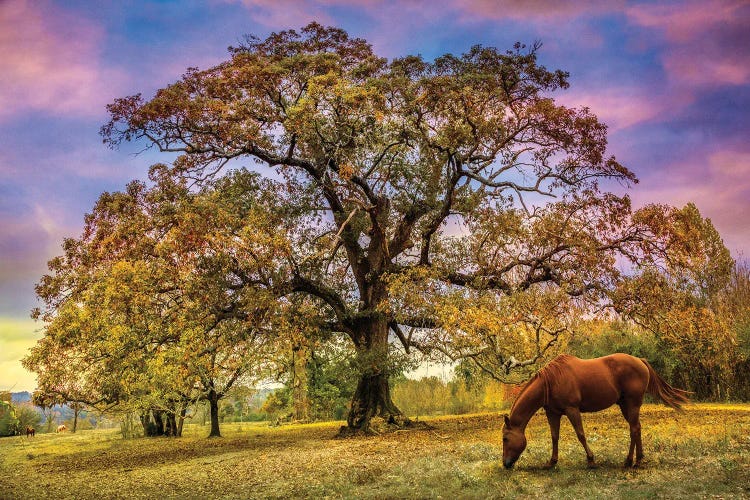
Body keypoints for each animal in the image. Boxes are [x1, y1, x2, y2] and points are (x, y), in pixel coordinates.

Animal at [502, 352, 692, 468]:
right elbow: (555, 437)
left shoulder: (572, 409)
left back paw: (630, 461)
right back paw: (637, 459)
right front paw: (552, 462)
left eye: (505, 438)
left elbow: (580, 434)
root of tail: (640, 361)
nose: (505, 463)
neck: (551, 381)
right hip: (625, 405)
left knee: (634, 429)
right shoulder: (553, 413)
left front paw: (591, 460)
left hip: (632, 404)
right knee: (636, 428)